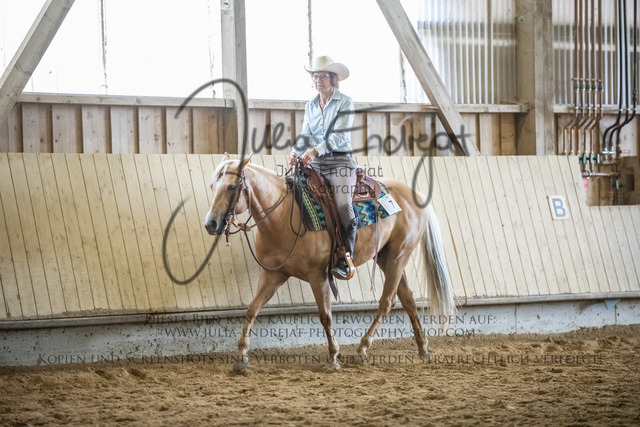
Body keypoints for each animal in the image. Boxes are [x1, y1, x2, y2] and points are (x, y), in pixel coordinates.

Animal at [203, 153, 455, 371]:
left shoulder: (318, 276)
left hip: (398, 257)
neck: (283, 214)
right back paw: (423, 349)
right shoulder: (273, 274)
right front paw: (241, 356)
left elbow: (325, 315)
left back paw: (363, 348)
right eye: (212, 186)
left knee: (387, 302)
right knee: (407, 299)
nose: (210, 224)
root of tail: (417, 195)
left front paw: (333, 356)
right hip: (386, 258)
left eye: (231, 186)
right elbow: (252, 309)